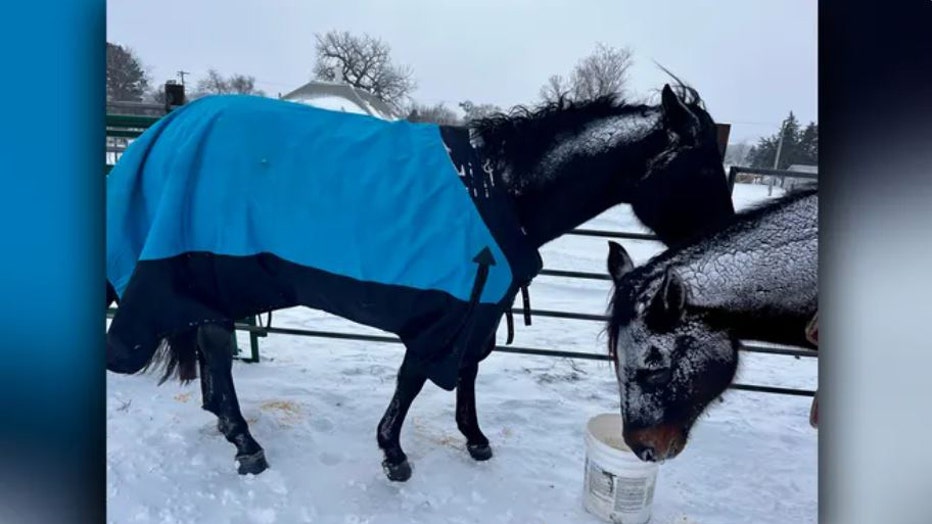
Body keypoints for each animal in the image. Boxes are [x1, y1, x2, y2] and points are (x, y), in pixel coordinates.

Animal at [107, 83, 736, 484]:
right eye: (705, 167)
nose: (729, 240)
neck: (504, 188)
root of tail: (164, 129)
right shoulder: (446, 311)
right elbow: (413, 381)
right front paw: (393, 453)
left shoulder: (480, 309)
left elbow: (468, 374)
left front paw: (474, 439)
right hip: (203, 270)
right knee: (216, 349)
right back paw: (246, 443)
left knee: (209, 349)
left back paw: (226, 424)